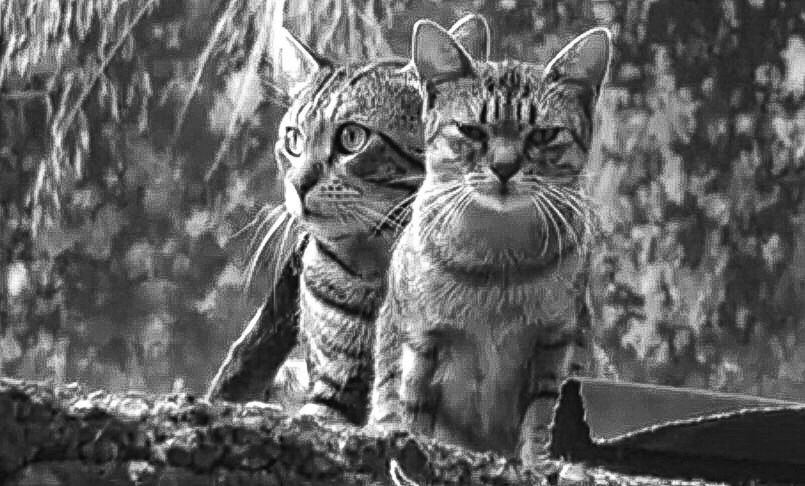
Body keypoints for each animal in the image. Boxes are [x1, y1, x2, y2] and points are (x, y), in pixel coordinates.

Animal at [370, 19, 608, 460]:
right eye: (470, 130)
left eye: (544, 135)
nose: (504, 167)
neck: (497, 263)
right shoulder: (421, 342)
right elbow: (411, 410)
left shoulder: (555, 342)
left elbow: (544, 417)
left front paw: (538, 460)